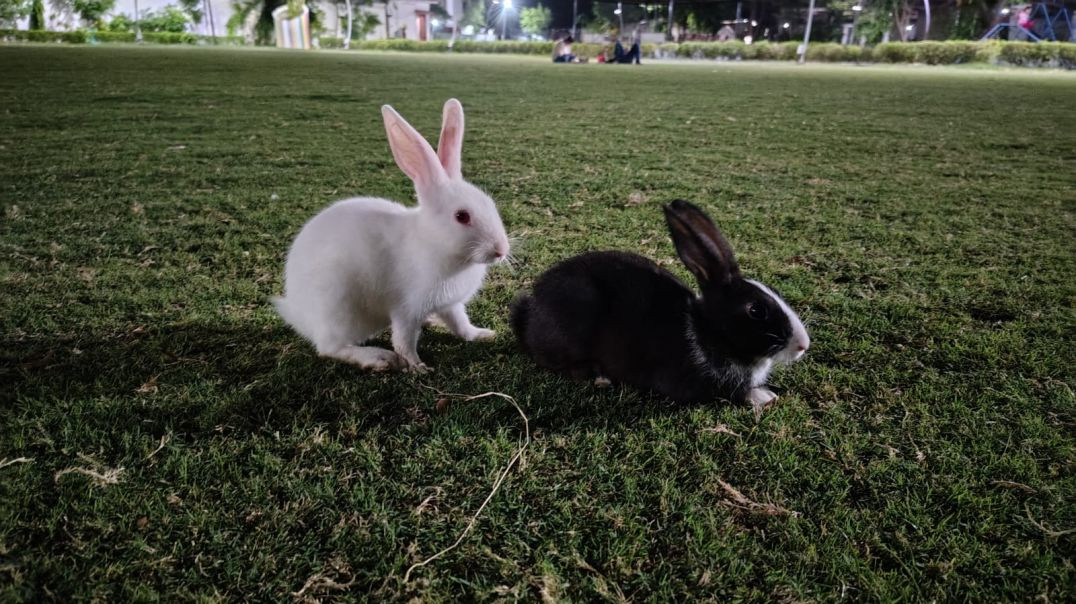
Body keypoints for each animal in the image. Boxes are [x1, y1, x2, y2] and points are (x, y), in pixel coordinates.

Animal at [273, 99, 510, 372]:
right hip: (337, 308)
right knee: (330, 348)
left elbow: (461, 325)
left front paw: (483, 334)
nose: (501, 250)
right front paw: (418, 367)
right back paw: (379, 358)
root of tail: (300, 315)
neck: (434, 243)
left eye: (490, 204)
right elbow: (404, 341)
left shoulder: (451, 304)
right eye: (462, 216)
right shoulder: (407, 309)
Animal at [511, 199, 809, 414]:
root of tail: (528, 314)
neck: (706, 333)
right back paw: (600, 377)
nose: (803, 345)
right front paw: (764, 396)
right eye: (756, 310)